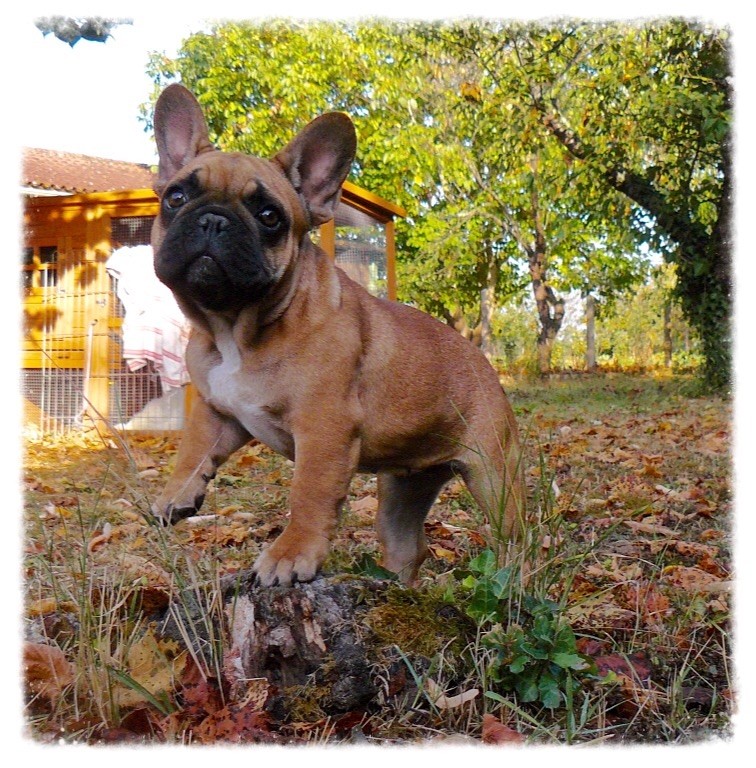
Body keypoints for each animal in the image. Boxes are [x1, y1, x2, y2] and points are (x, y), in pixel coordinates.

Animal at [150, 84, 524, 587]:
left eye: (269, 215)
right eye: (175, 197)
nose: (213, 220)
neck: (236, 327)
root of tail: (484, 363)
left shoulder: (324, 429)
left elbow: (308, 493)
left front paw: (291, 554)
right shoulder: (218, 411)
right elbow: (193, 449)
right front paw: (177, 493)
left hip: (493, 474)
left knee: (517, 535)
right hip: (404, 485)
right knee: (406, 544)